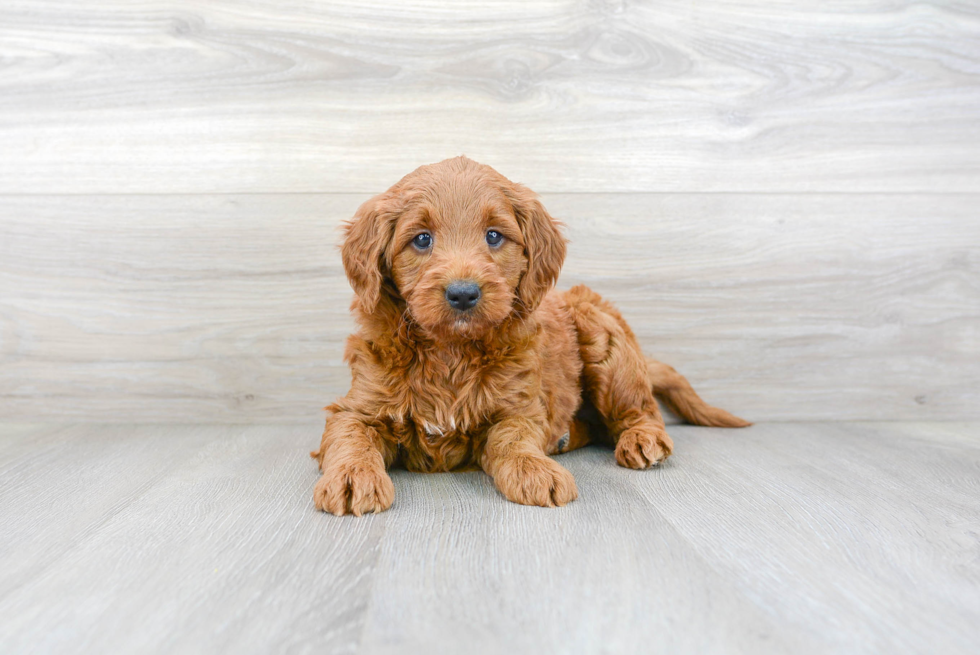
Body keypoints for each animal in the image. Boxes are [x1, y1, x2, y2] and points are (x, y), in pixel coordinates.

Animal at [314, 156, 752, 516]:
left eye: (494, 236)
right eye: (421, 239)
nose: (463, 293)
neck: (450, 351)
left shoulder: (520, 407)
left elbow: (511, 438)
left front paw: (533, 468)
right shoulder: (358, 406)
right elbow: (350, 435)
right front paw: (352, 477)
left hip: (603, 335)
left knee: (640, 409)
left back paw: (641, 439)